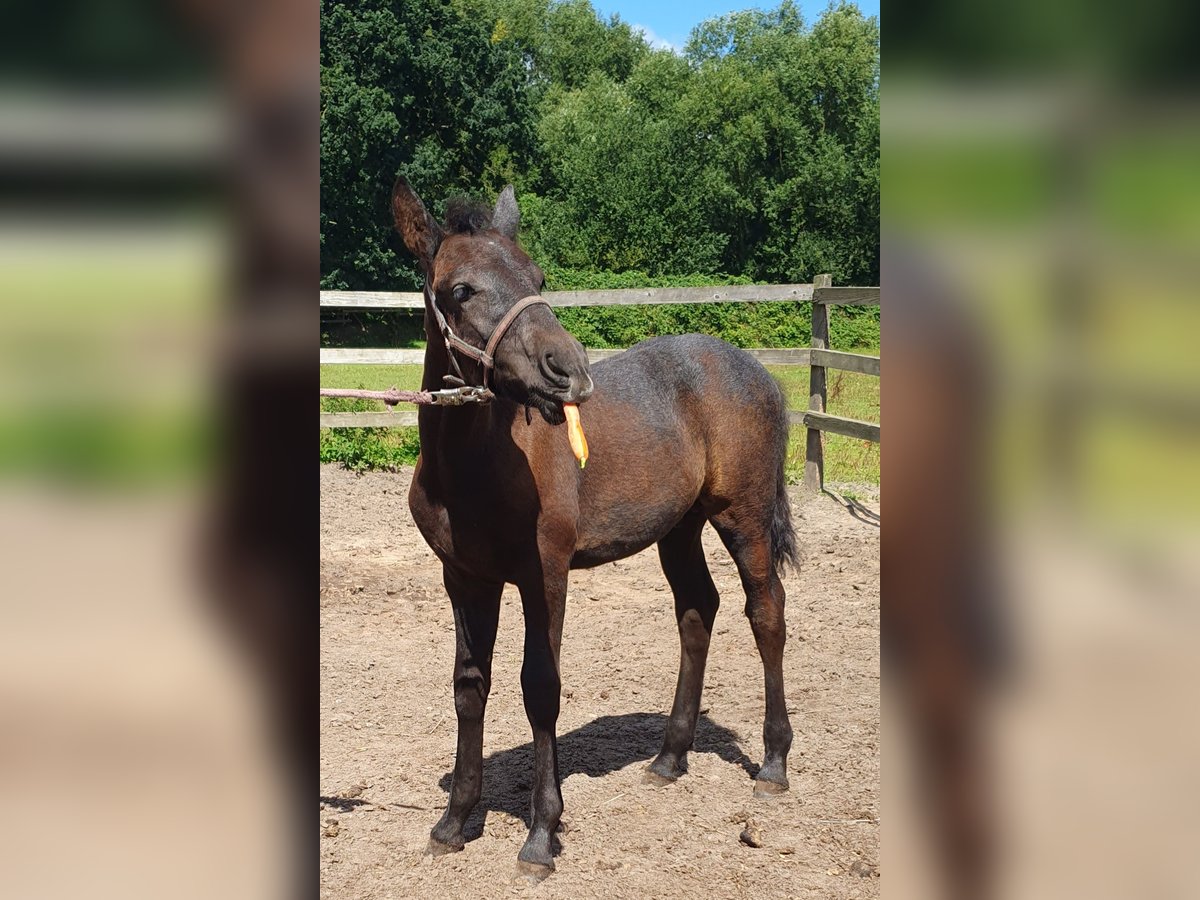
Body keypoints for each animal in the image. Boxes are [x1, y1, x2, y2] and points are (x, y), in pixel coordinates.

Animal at [391, 177, 798, 878]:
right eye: (461, 290)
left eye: (537, 277)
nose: (567, 370)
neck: (477, 465)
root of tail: (758, 372)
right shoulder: (464, 578)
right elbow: (469, 686)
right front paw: (454, 821)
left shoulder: (544, 574)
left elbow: (540, 686)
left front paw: (540, 834)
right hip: (679, 528)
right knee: (698, 609)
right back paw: (669, 757)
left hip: (741, 515)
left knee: (764, 612)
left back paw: (772, 763)